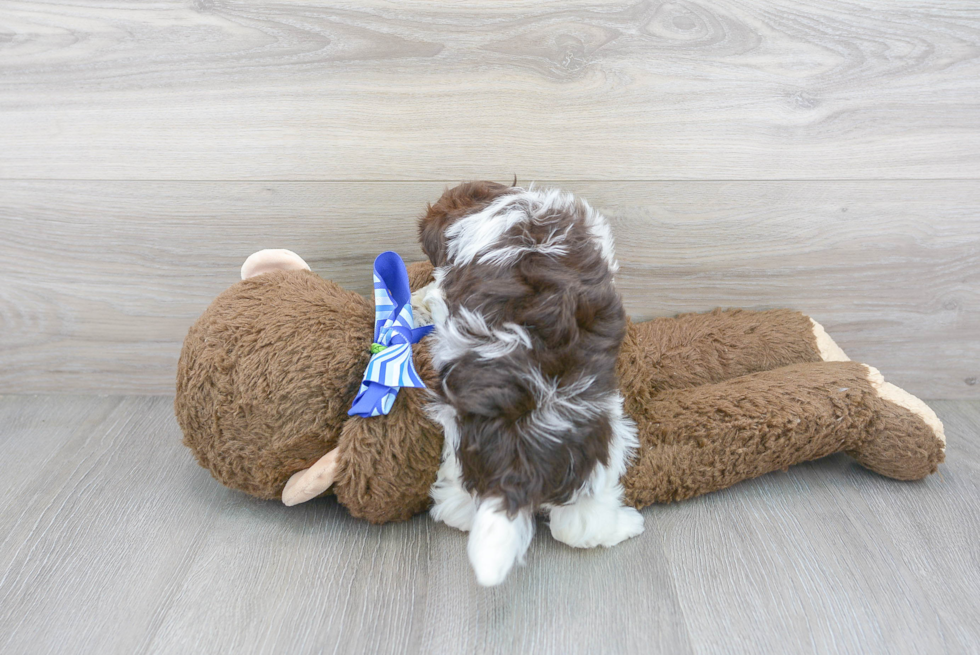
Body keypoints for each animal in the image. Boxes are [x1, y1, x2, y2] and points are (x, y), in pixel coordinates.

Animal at [414, 182, 644, 588]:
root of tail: (518, 451)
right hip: (607, 442)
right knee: (581, 525)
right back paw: (625, 525)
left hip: (466, 441)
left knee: (464, 502)